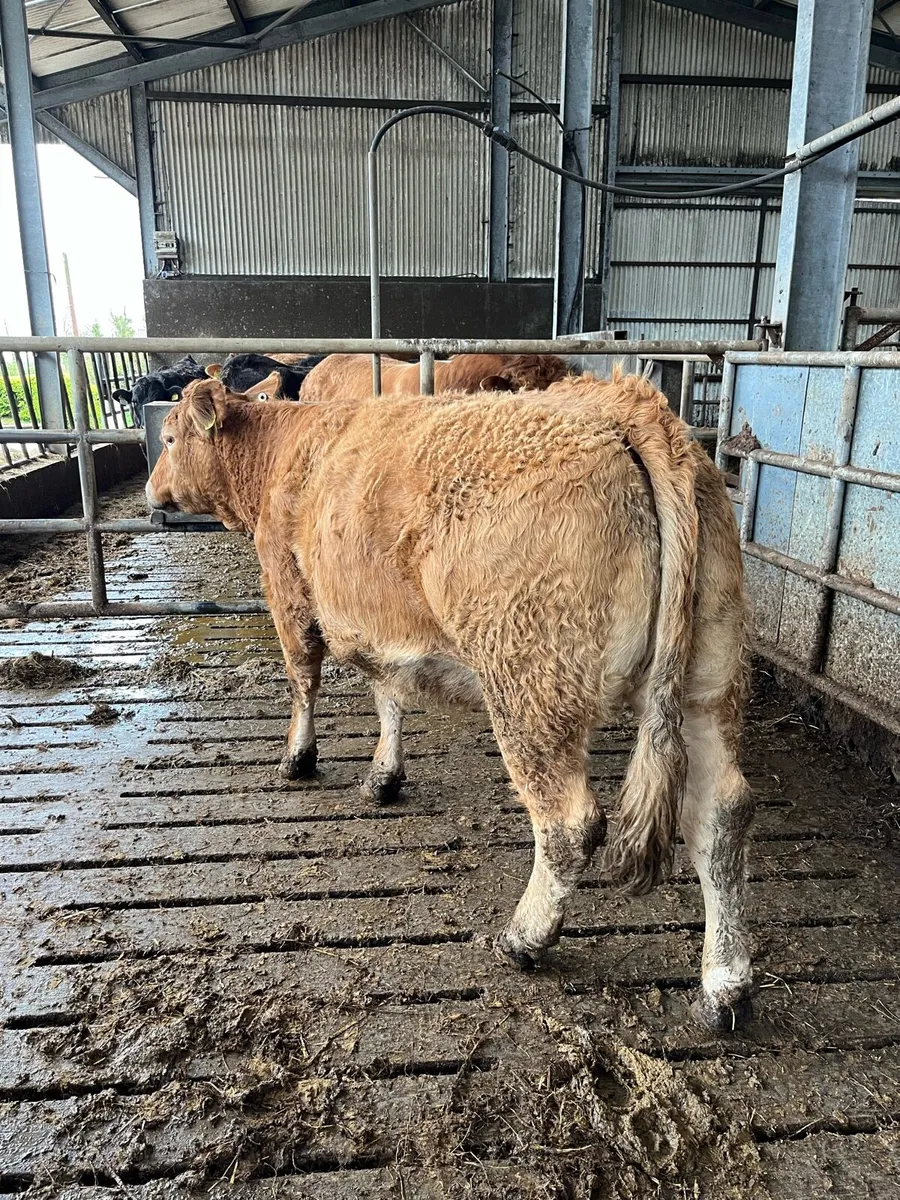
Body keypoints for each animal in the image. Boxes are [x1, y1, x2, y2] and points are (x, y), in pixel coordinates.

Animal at [146, 373, 752, 1033]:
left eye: (169, 438)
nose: (151, 491)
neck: (282, 451)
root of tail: (624, 405)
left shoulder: (289, 592)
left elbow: (304, 680)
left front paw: (297, 759)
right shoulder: (379, 621)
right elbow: (387, 693)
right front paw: (384, 776)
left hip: (531, 683)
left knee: (569, 824)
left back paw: (524, 937)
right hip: (708, 681)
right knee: (720, 816)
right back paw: (724, 986)